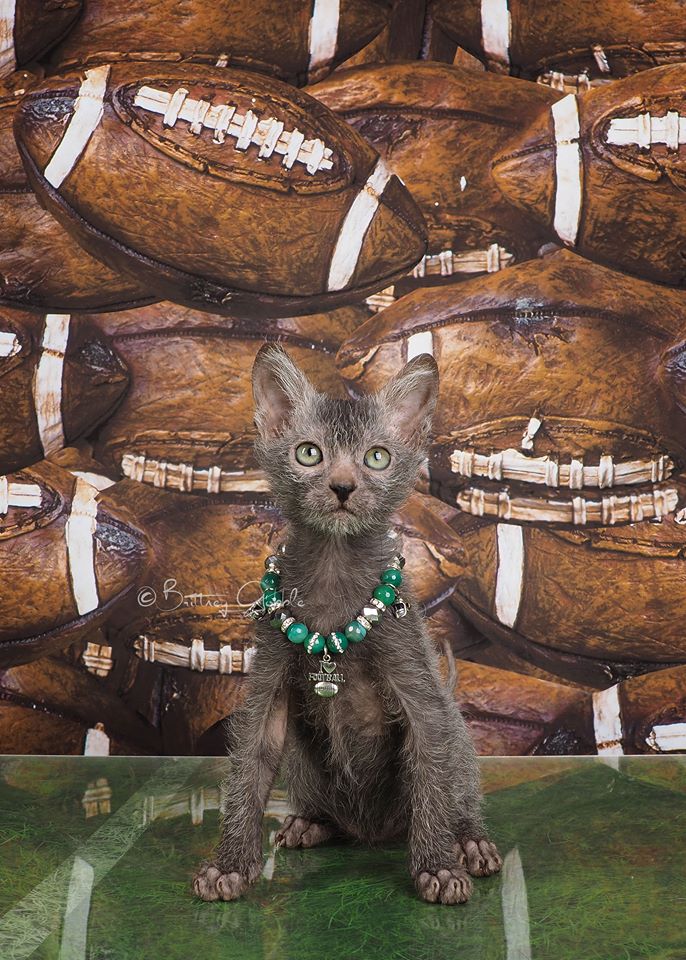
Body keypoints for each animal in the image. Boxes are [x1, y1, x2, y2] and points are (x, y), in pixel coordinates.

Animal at [193, 343, 501, 905]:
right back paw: (311, 823)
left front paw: (438, 866)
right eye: (308, 454)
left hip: (456, 731)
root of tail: (371, 832)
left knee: (456, 791)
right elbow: (247, 770)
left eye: (377, 457)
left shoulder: (418, 686)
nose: (342, 486)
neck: (334, 571)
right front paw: (229, 865)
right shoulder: (267, 680)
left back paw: (469, 841)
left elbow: (431, 770)